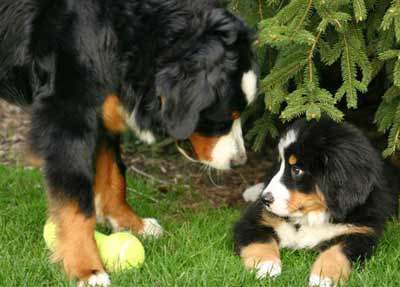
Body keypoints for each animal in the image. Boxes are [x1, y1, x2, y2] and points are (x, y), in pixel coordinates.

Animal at [0, 0, 256, 286]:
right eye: (224, 118)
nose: (240, 161)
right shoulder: (70, 117)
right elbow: (78, 201)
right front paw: (86, 267)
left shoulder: (106, 102)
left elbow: (115, 175)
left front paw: (131, 223)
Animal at [233, 118, 398, 287]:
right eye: (280, 165)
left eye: (297, 170)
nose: (265, 199)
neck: (313, 214)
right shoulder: (255, 219)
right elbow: (260, 242)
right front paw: (265, 267)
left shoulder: (359, 232)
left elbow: (337, 251)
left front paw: (323, 278)